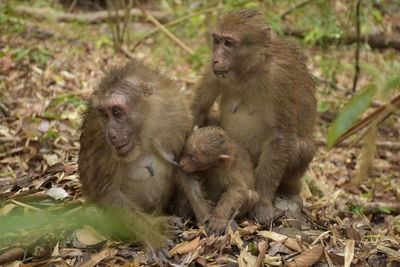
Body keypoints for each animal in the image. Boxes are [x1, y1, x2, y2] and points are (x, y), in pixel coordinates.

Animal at [78, 59, 194, 248]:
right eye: (104, 114)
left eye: (116, 111)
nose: (111, 134)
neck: (144, 127)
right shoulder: (97, 133)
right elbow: (109, 193)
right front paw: (153, 234)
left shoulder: (178, 113)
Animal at [192, 9, 318, 224]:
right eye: (217, 40)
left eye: (229, 43)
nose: (215, 58)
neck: (250, 69)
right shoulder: (213, 71)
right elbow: (200, 108)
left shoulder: (278, 78)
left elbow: (280, 136)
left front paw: (263, 203)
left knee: (301, 147)